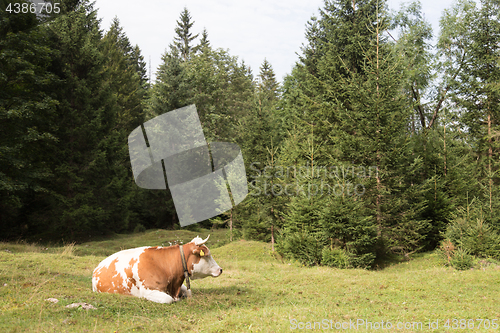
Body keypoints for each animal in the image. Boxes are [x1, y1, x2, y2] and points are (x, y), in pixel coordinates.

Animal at [90, 233, 223, 304]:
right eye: (207, 255)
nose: (220, 269)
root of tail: (97, 268)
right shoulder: (148, 291)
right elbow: (168, 299)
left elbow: (187, 292)